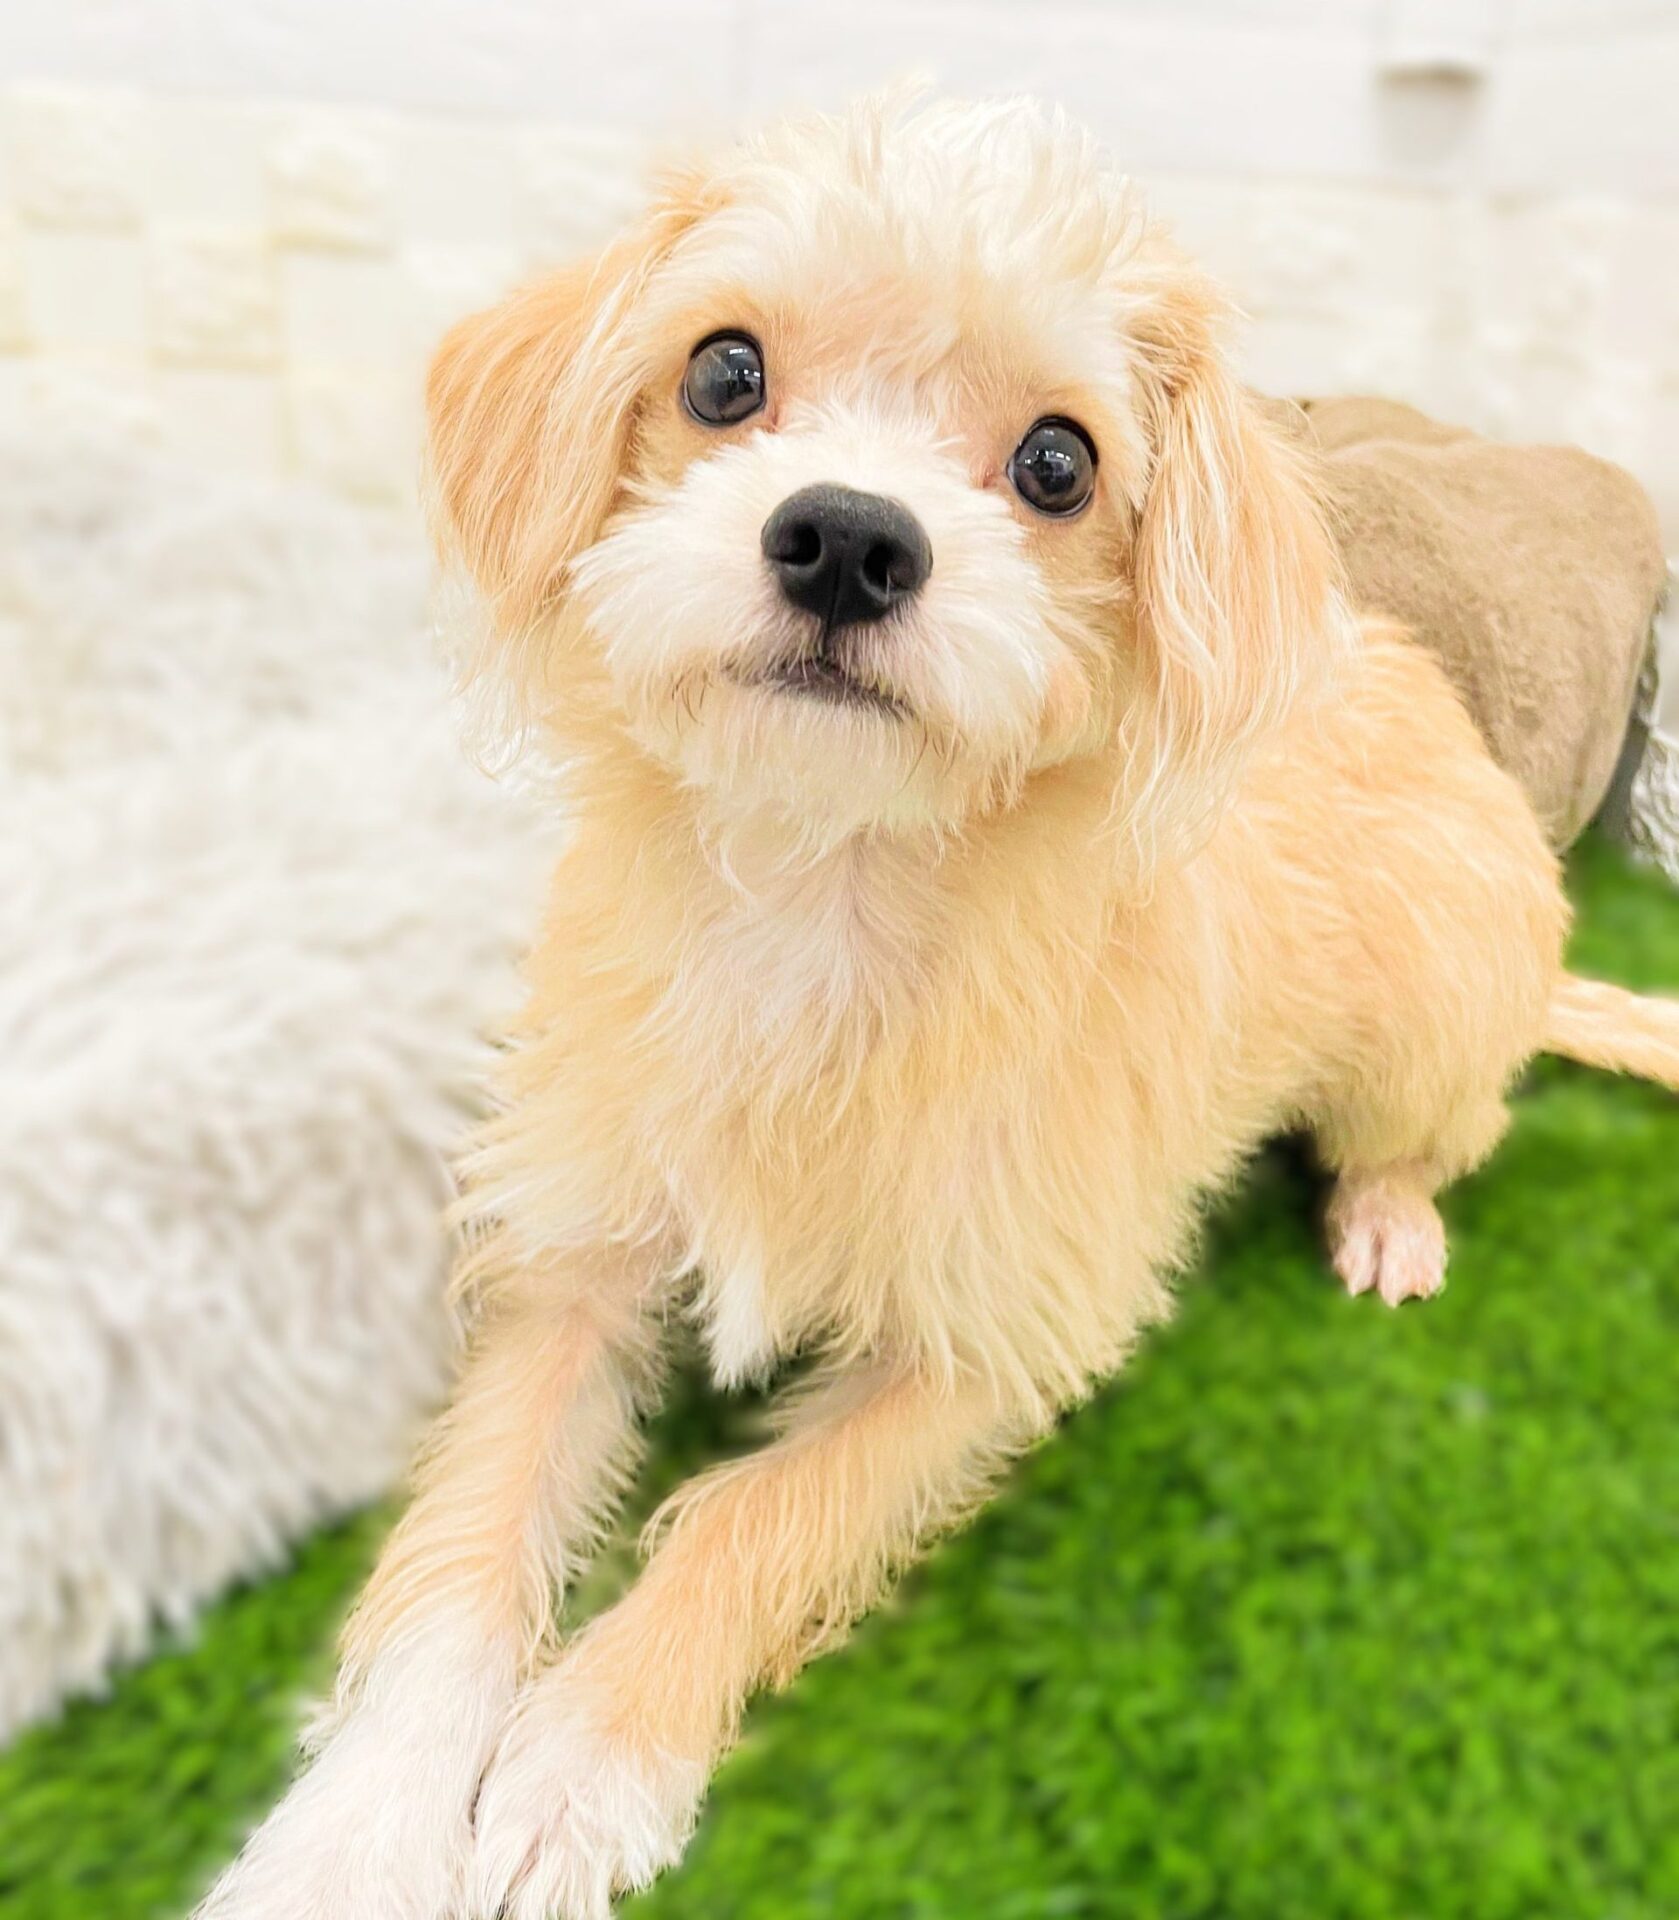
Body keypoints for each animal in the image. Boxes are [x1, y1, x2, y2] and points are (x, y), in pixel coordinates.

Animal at [196, 94, 1679, 1920]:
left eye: (1057, 463)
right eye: (722, 373)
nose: (843, 536)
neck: (821, 894)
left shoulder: (987, 1339)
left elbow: (759, 1513)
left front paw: (582, 1761)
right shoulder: (572, 1263)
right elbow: (463, 1542)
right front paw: (355, 1831)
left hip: (1421, 1018)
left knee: (1429, 1127)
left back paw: (1386, 1215)